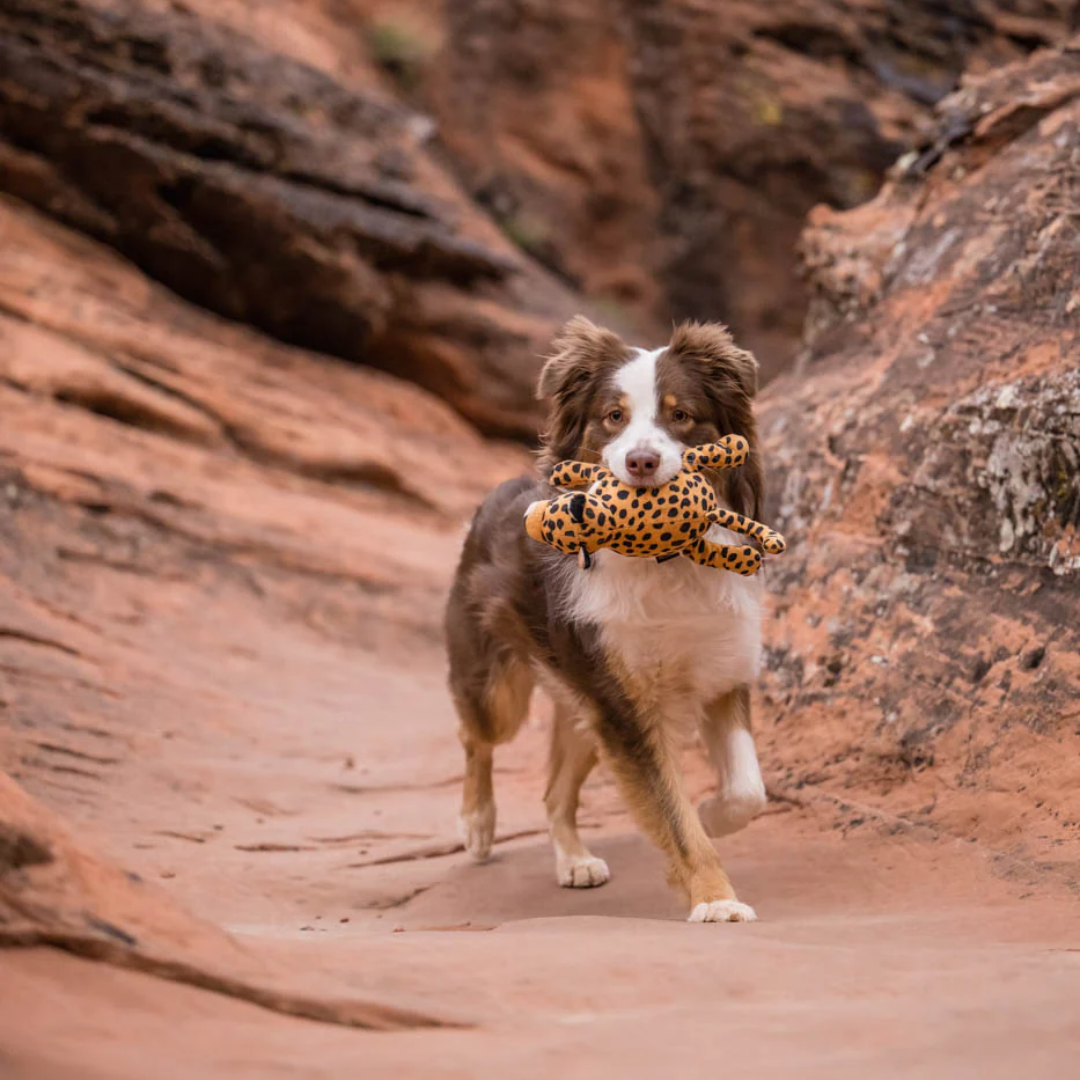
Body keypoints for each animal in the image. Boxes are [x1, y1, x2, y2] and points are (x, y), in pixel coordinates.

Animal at [444, 315, 768, 924]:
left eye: (681, 416)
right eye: (613, 416)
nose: (641, 463)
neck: (663, 560)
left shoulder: (720, 666)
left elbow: (748, 793)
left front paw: (714, 814)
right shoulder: (624, 704)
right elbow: (672, 815)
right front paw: (715, 899)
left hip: (582, 703)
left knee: (554, 793)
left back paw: (573, 860)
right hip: (503, 687)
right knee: (477, 737)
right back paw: (477, 823)